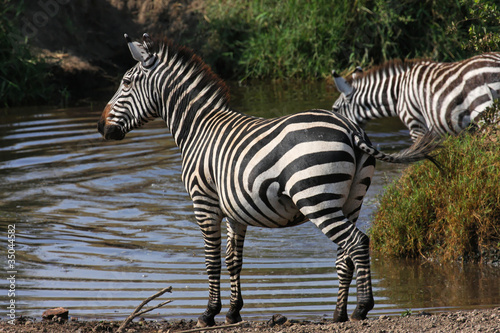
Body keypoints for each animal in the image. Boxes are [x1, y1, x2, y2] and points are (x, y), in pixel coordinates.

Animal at [97, 33, 438, 324]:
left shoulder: (203, 201)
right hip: (352, 199)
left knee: (357, 242)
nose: (100, 127)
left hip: (316, 198)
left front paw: (209, 313)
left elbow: (212, 259)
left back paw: (361, 308)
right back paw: (339, 313)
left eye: (126, 82)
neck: (198, 128)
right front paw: (233, 312)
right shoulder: (235, 210)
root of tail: (351, 128)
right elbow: (234, 260)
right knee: (346, 253)